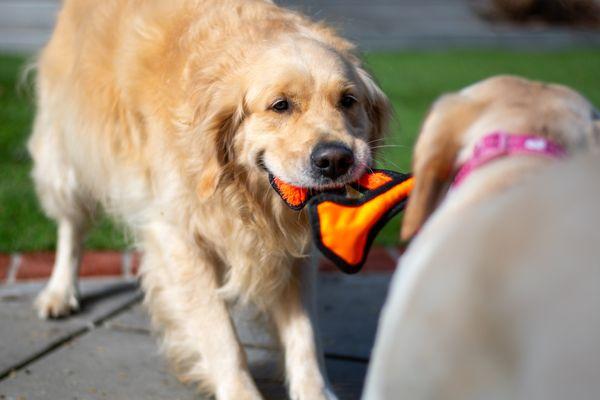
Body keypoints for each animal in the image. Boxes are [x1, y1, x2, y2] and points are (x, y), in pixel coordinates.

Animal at [27, 0, 390, 400]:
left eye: (348, 101)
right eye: (280, 106)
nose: (336, 159)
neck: (242, 193)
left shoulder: (293, 247)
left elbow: (304, 336)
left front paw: (314, 391)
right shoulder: (179, 238)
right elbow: (221, 337)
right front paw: (240, 392)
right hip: (67, 158)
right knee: (71, 228)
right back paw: (60, 292)